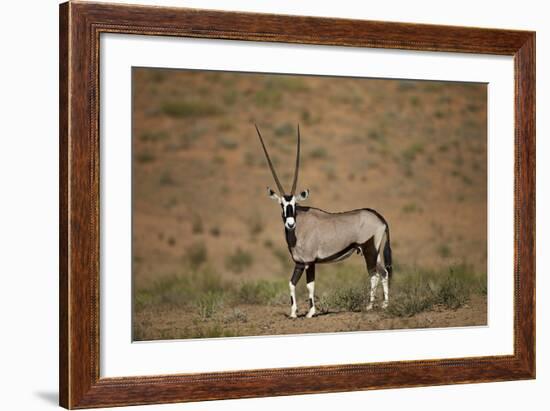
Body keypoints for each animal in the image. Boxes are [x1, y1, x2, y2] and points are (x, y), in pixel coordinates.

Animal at [256, 124, 394, 318]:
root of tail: (380, 218)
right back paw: (384, 305)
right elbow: (291, 283)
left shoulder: (310, 262)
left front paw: (310, 312)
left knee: (374, 274)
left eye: (295, 204)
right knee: (384, 273)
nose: (290, 224)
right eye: (282, 204)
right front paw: (293, 313)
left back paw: (369, 306)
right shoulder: (299, 263)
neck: (299, 229)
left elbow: (310, 285)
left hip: (369, 250)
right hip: (376, 251)